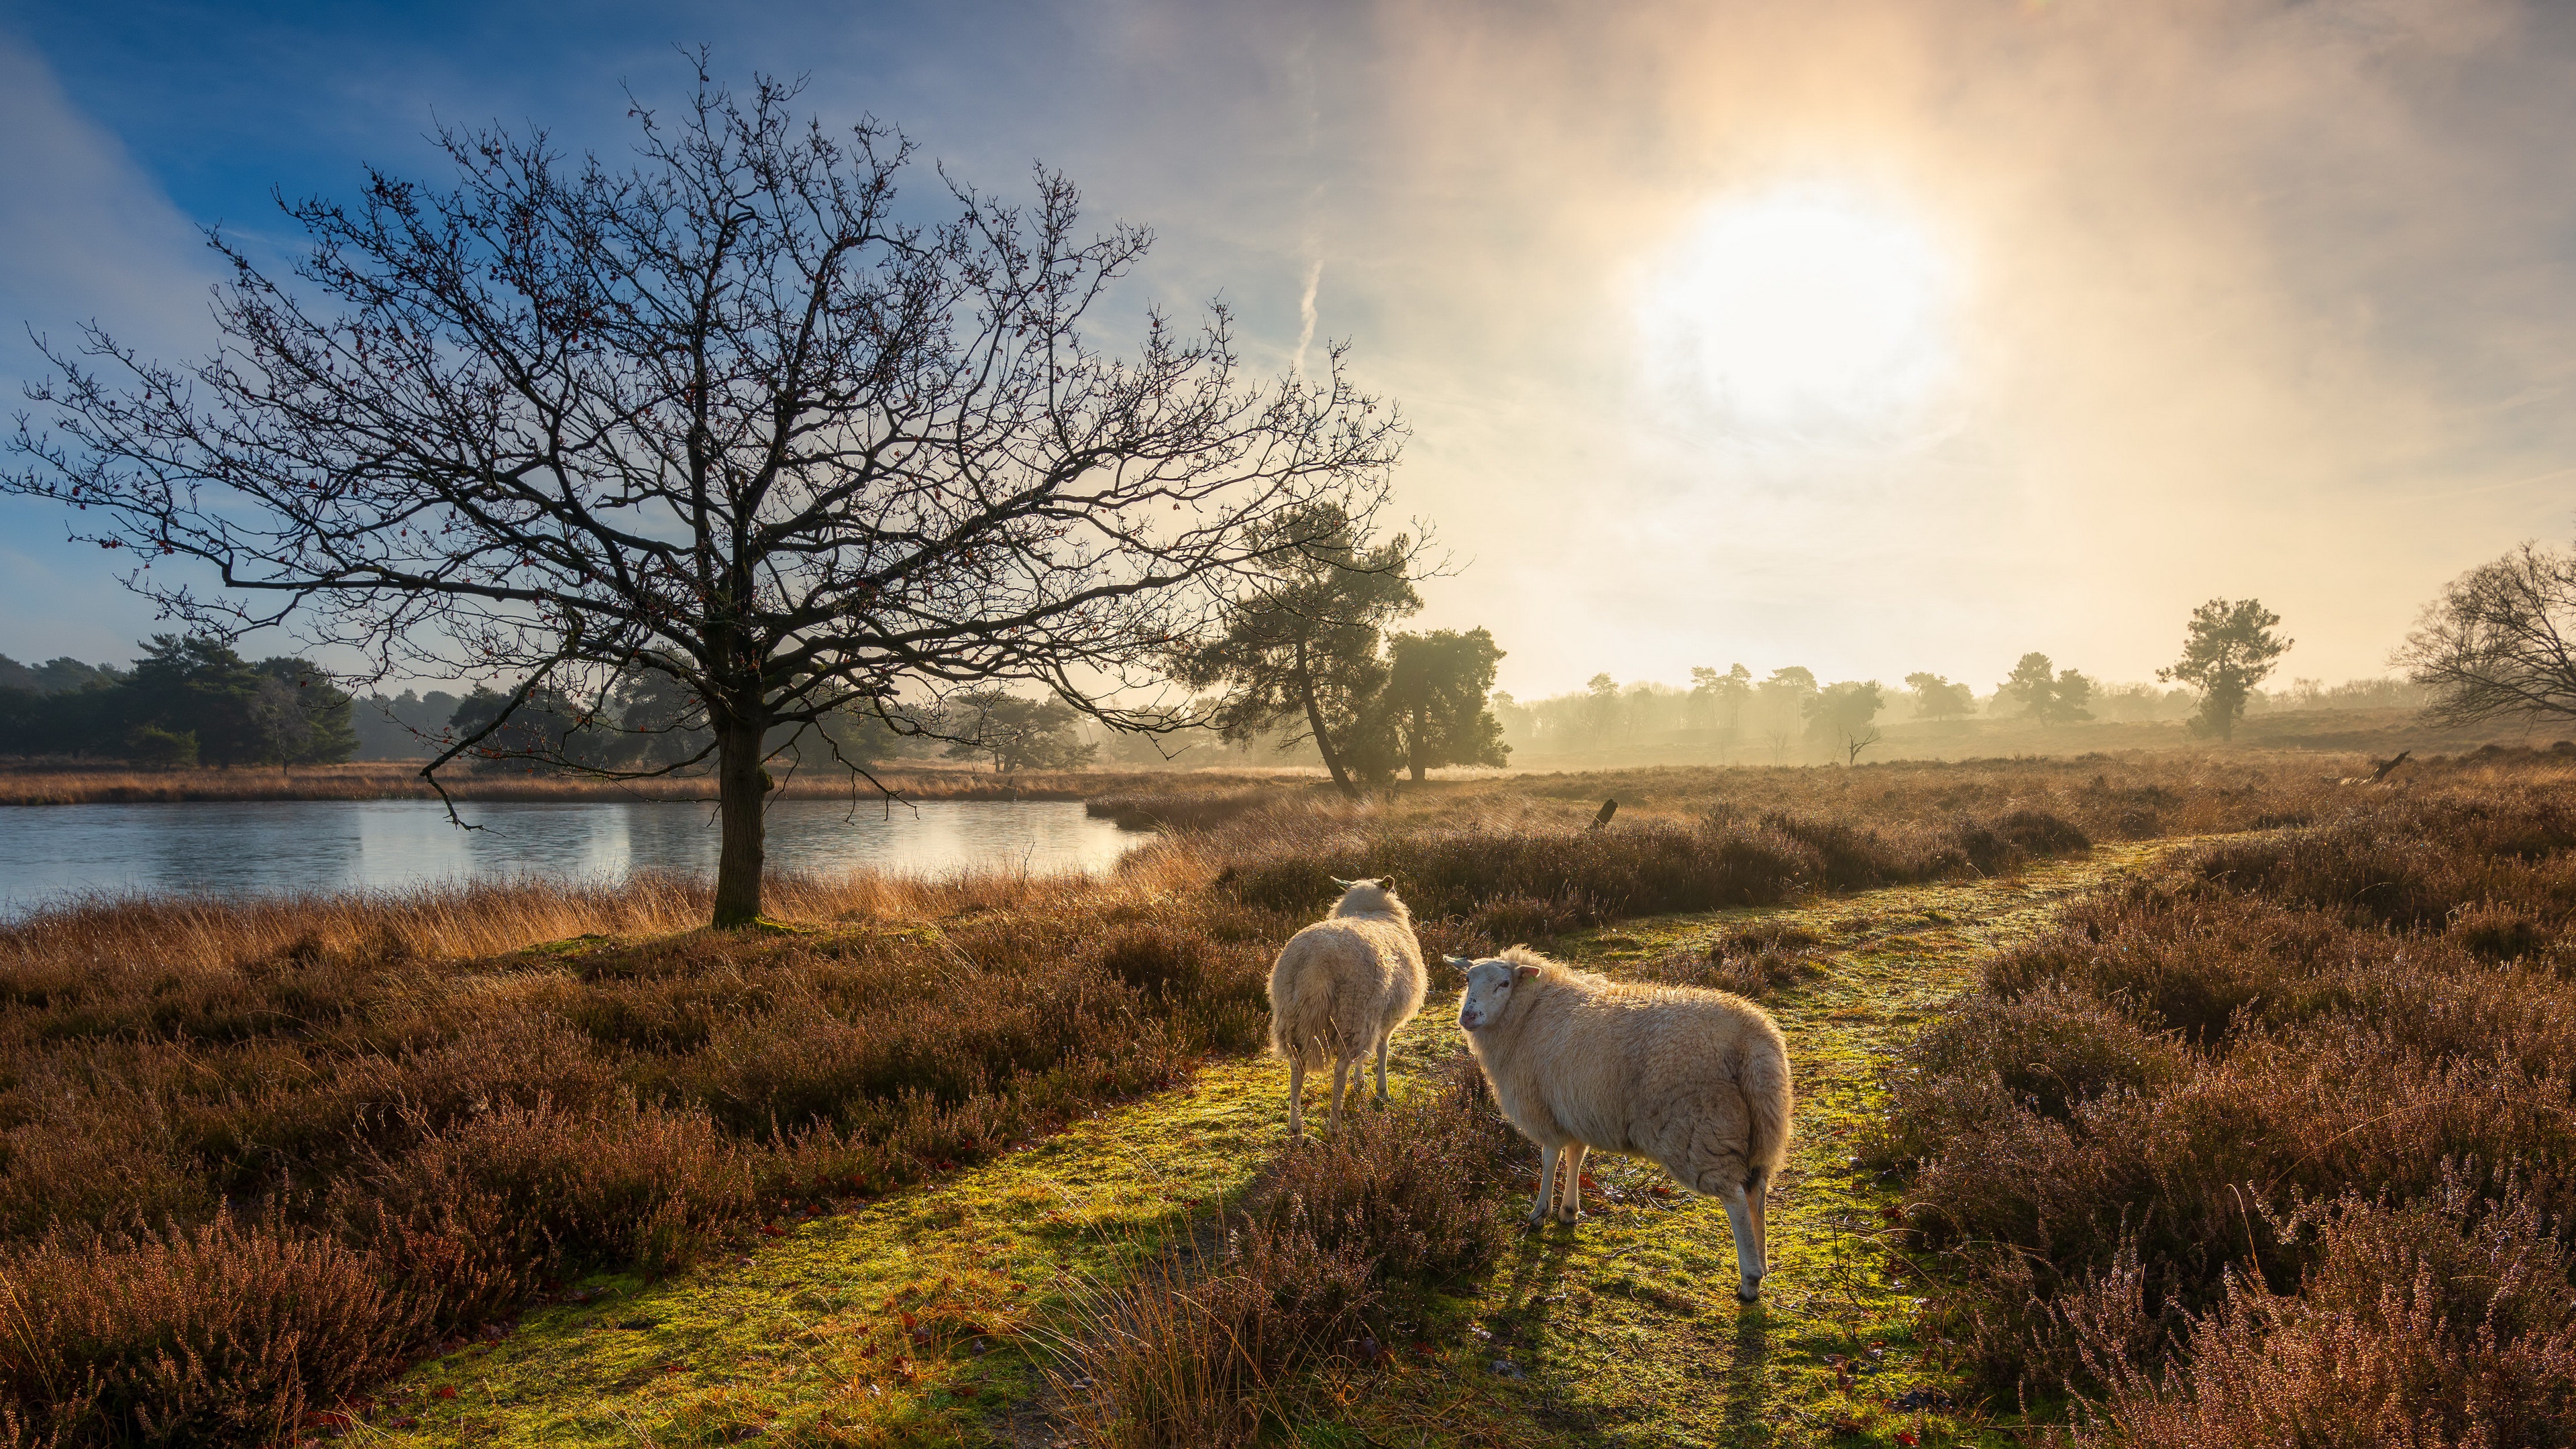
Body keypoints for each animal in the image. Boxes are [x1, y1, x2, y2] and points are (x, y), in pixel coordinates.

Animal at [1269, 878, 1429, 1138]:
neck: (1369, 911)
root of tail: (1316, 964)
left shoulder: (1374, 1018)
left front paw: (1361, 1081)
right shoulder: (1383, 1018)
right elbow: (1383, 1049)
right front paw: (1381, 1091)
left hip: (1291, 1017)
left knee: (1296, 1070)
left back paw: (1297, 1129)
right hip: (1353, 1012)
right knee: (1340, 1069)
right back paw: (1335, 1126)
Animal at [1450, 945, 1794, 1304]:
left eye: (1504, 983)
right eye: (1467, 979)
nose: (1468, 1017)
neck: (1529, 1012)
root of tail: (1752, 1039)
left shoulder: (1545, 1109)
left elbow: (1550, 1158)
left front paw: (1540, 1213)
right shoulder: (1576, 1109)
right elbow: (1576, 1156)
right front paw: (1569, 1211)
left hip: (1701, 1129)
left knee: (1736, 1199)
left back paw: (1749, 1281)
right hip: (1759, 1129)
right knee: (1757, 1191)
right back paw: (1763, 1264)